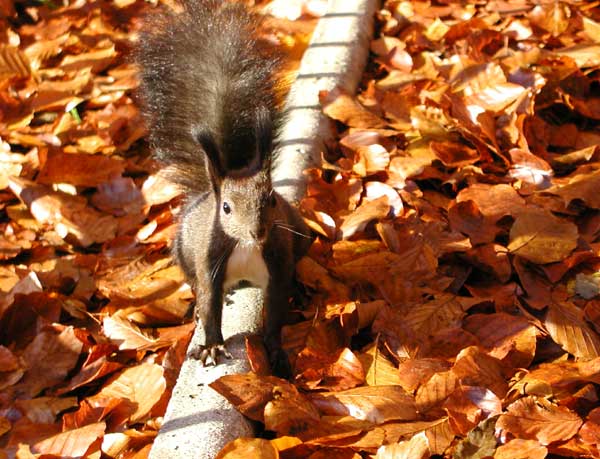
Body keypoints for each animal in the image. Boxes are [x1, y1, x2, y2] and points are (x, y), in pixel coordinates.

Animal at [135, 0, 312, 370]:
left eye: (272, 199)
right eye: (226, 208)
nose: (258, 232)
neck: (244, 246)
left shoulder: (278, 262)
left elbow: (276, 313)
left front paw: (275, 351)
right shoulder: (209, 263)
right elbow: (209, 304)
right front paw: (212, 346)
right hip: (183, 251)